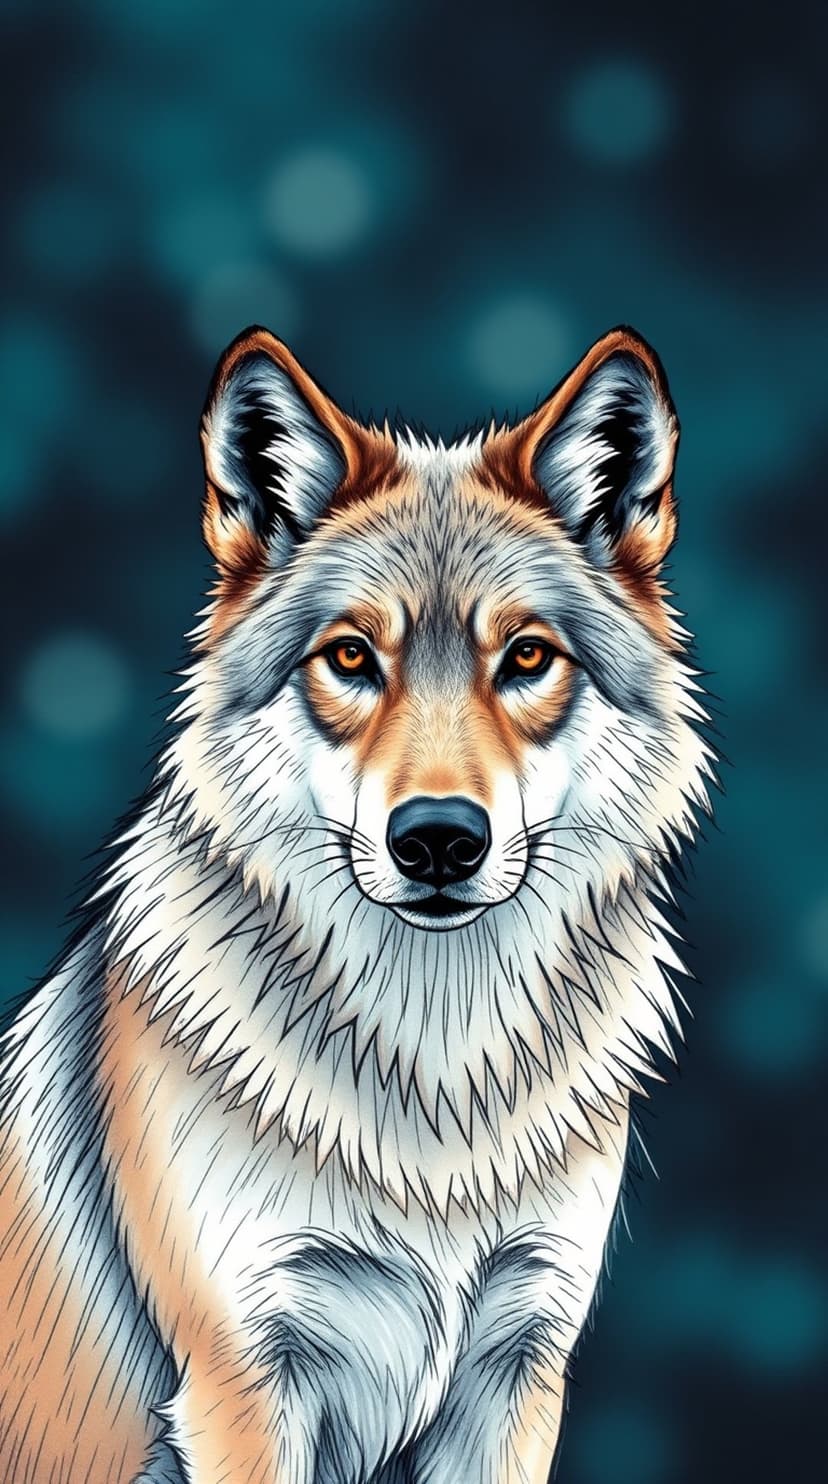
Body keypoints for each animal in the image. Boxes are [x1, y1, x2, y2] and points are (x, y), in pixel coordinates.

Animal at [0, 324, 713, 1484]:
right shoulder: (246, 1387)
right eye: (350, 656)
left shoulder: (517, 1372)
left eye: (526, 656)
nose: (439, 839)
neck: (435, 1075)